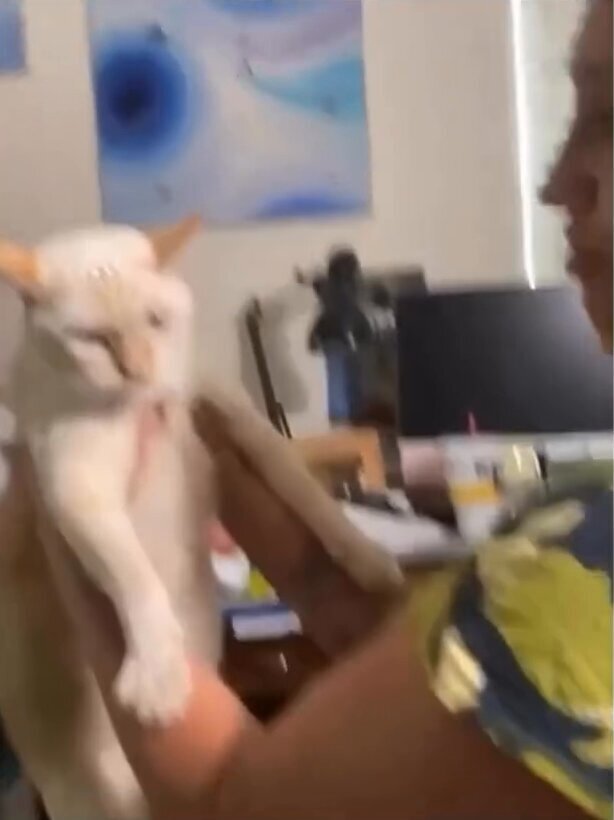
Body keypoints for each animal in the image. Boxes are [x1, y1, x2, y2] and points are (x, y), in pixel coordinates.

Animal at [0, 219, 401, 820]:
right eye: (93, 339)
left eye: (155, 321)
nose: (138, 370)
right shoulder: (76, 483)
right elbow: (133, 575)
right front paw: (159, 676)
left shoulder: (228, 415)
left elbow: (306, 491)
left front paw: (368, 559)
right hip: (79, 782)